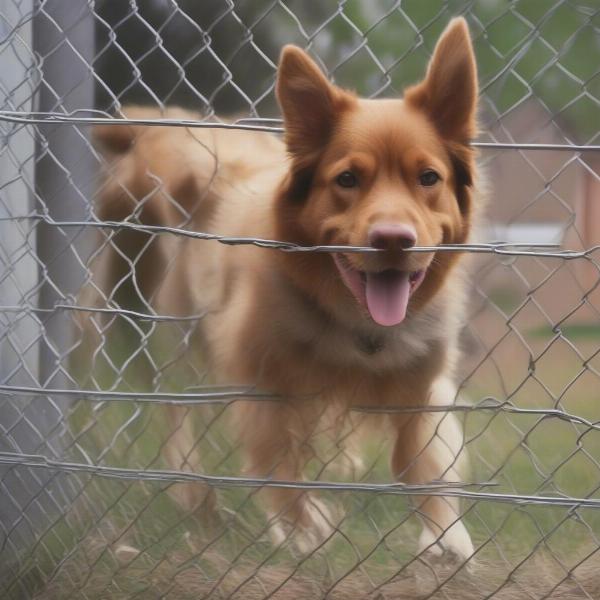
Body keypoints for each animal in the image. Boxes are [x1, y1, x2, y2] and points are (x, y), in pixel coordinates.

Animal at [86, 18, 478, 564]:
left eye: (428, 178)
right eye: (347, 179)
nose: (394, 240)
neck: (350, 320)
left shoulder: (423, 378)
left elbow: (425, 458)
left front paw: (446, 534)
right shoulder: (262, 380)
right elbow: (278, 463)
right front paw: (302, 527)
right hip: (160, 319)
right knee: (172, 406)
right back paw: (196, 494)